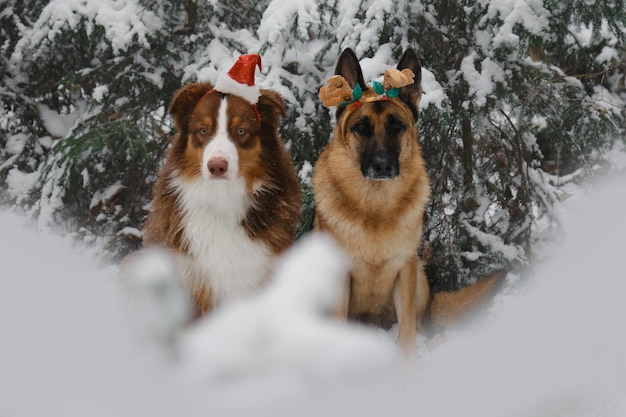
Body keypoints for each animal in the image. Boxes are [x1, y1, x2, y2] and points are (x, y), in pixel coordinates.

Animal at [314, 48, 500, 352]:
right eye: (361, 127)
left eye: (396, 126)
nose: (382, 166)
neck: (376, 208)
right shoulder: (339, 277)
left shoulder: (405, 272)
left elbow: (407, 332)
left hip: (419, 279)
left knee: (422, 326)